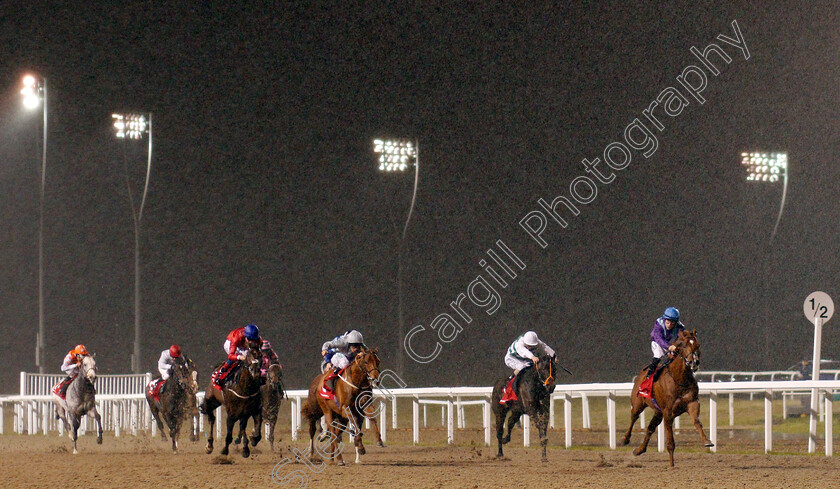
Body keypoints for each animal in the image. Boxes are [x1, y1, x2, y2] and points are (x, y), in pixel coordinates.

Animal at [620, 328, 712, 466]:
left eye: (698, 345)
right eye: (683, 345)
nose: (694, 362)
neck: (679, 379)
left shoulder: (692, 403)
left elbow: (697, 421)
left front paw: (707, 441)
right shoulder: (668, 412)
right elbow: (670, 442)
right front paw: (671, 465)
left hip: (658, 411)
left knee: (650, 428)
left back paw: (639, 450)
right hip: (638, 403)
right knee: (633, 417)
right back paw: (625, 439)